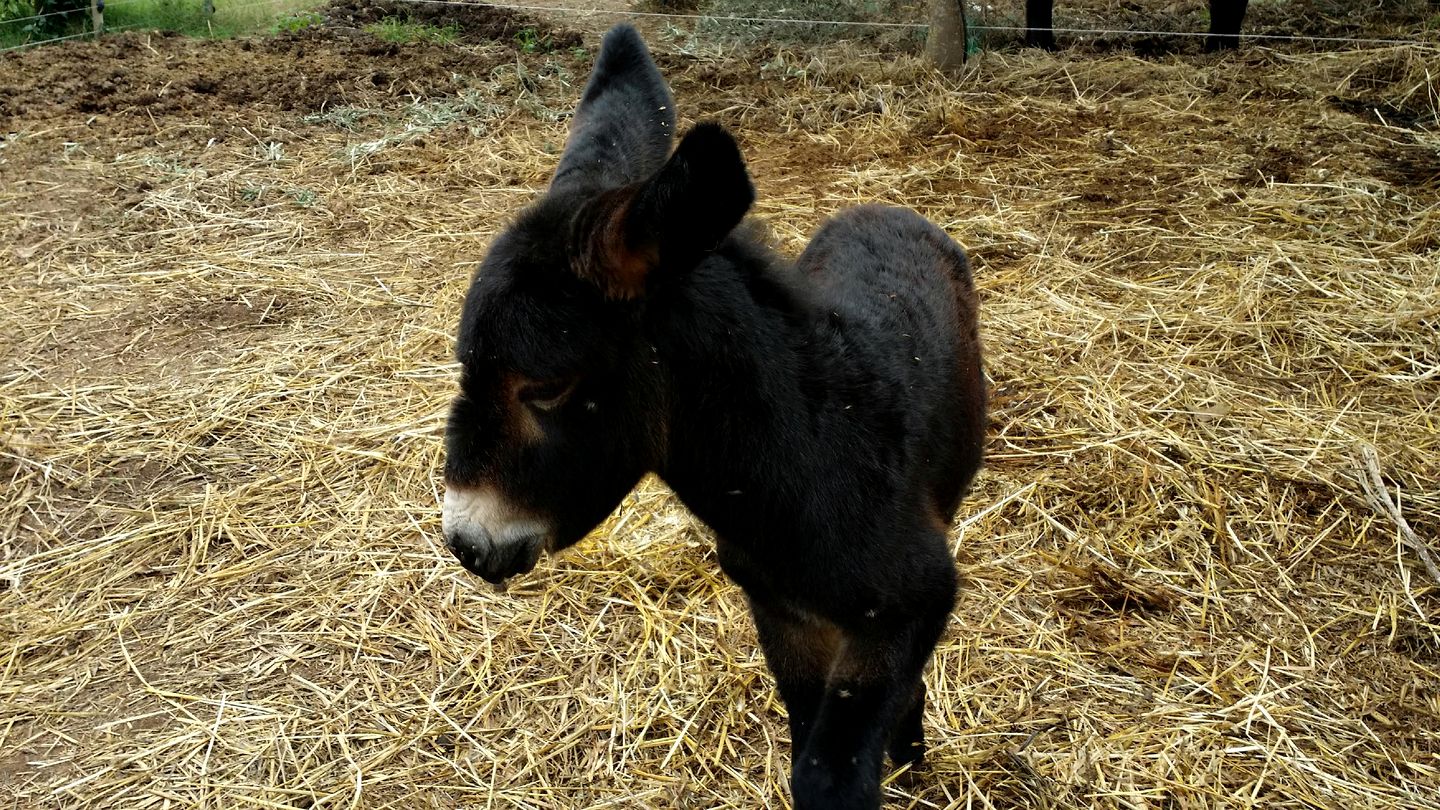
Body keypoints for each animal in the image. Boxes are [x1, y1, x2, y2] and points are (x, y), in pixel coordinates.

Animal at [437, 25, 979, 807]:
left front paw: (902, 750)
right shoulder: (777, 607)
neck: (808, 466)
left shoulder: (907, 606)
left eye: (546, 388)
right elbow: (807, 735)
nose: (465, 543)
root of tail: (884, 208)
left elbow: (833, 770)